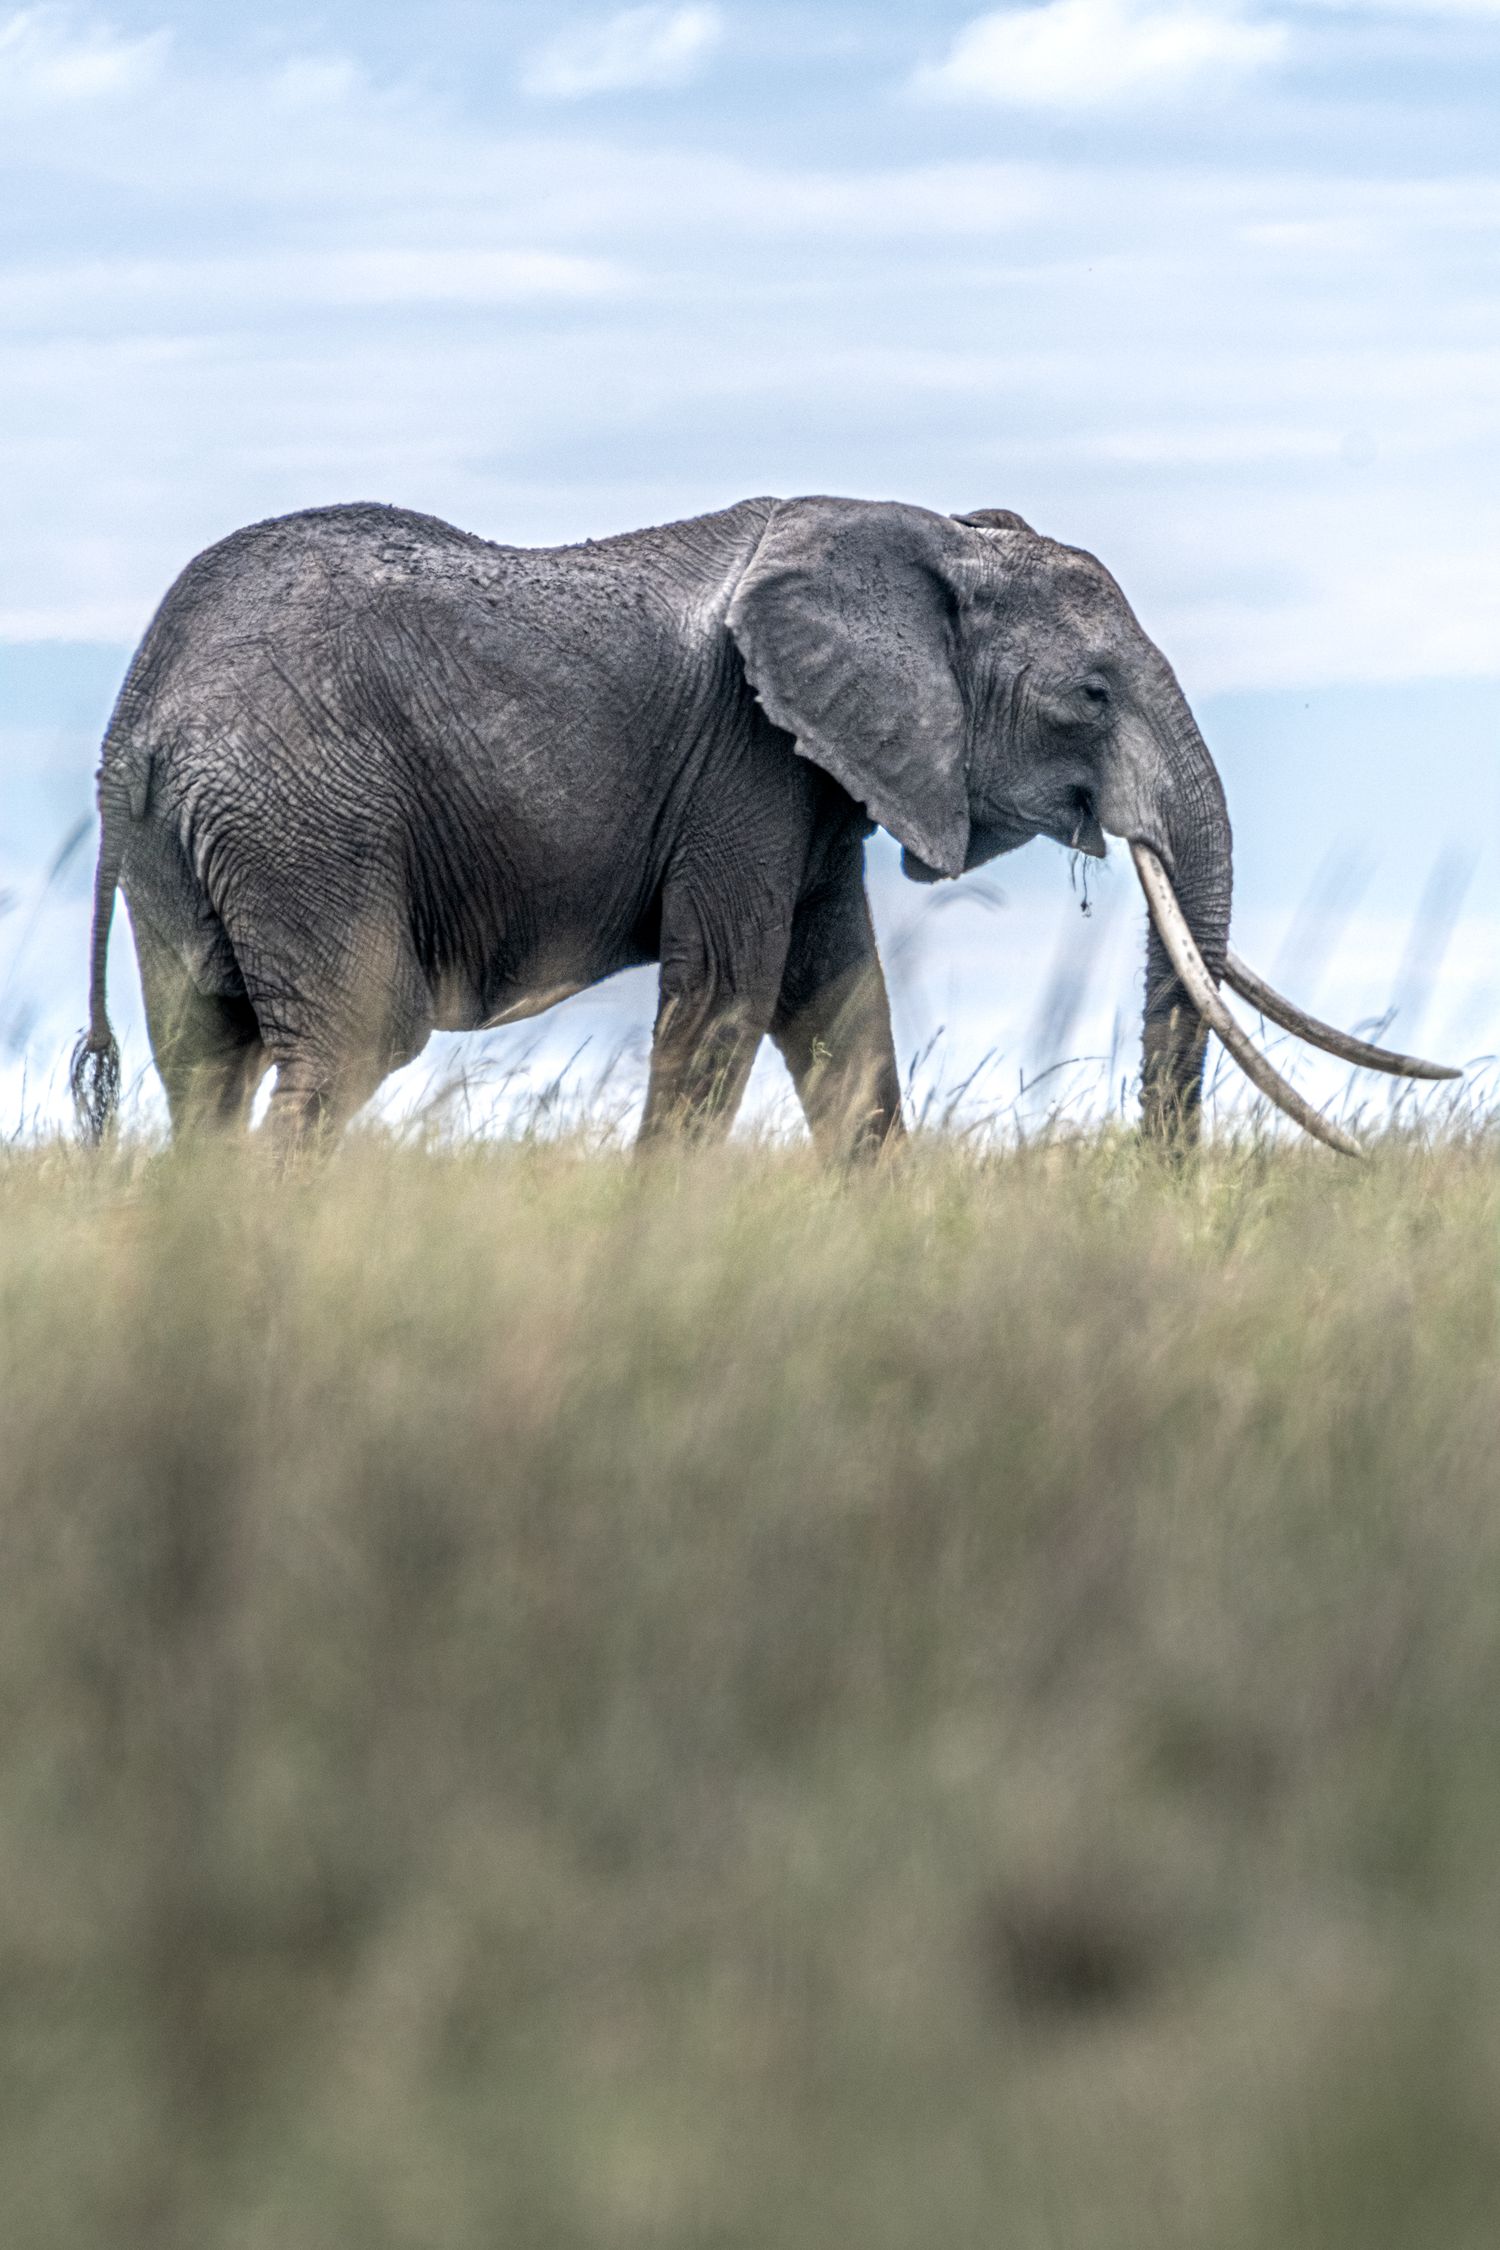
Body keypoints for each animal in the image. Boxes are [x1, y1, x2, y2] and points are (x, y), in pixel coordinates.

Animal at [72, 495, 1456, 1156]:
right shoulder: (745, 762)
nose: (1161, 1188)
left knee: (207, 1062)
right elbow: (726, 1001)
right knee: (349, 1043)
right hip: (305, 813)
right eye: (1092, 697)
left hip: (203, 840)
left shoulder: (819, 778)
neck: (920, 533)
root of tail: (137, 716)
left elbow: (839, 1011)